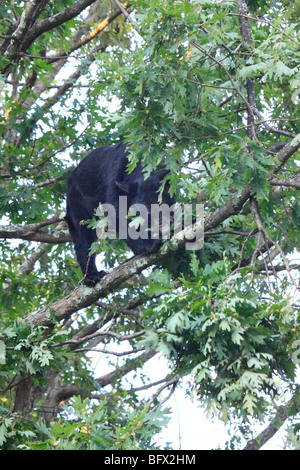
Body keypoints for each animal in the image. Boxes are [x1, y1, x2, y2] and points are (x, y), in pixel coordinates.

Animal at [65, 141, 173, 284]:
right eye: (144, 213)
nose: (160, 224)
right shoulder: (115, 180)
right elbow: (119, 216)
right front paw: (149, 244)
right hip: (77, 202)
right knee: (83, 236)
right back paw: (92, 276)